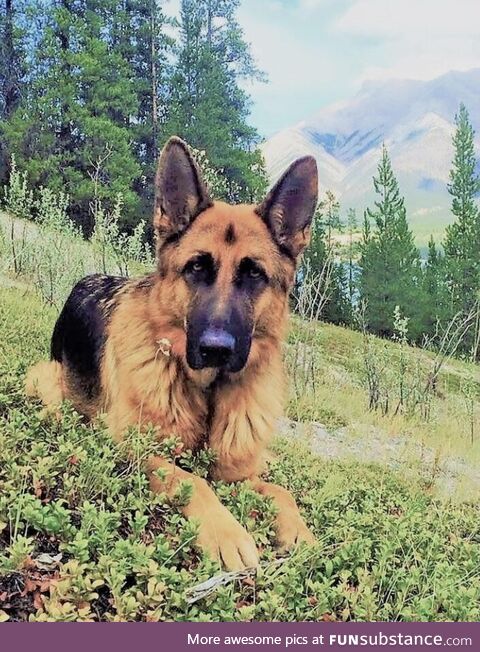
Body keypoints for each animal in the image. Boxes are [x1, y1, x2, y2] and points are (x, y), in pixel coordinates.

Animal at [26, 138, 318, 572]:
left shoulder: (240, 475)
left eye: (254, 274)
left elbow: (281, 492)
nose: (216, 349)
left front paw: (301, 535)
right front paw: (228, 533)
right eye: (196, 267)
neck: (209, 395)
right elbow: (190, 479)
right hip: (47, 382)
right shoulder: (133, 449)